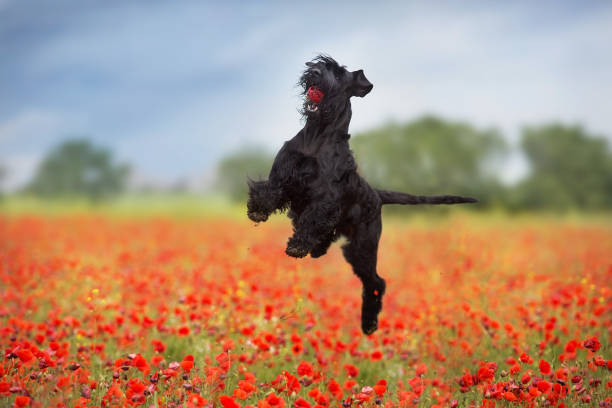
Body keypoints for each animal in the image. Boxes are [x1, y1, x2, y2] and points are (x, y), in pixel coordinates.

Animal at [246, 55, 476, 334]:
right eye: (321, 64)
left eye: (339, 74)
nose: (314, 72)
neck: (317, 135)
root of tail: (377, 195)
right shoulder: (282, 175)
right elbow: (269, 190)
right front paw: (258, 210)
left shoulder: (325, 199)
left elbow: (313, 218)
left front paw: (297, 246)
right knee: (331, 239)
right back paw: (318, 251)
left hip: (362, 248)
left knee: (376, 281)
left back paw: (369, 323)